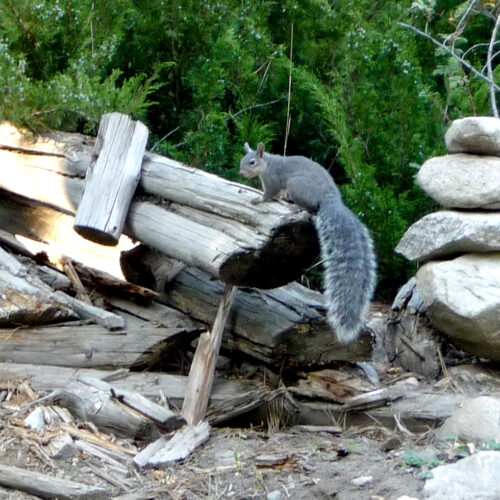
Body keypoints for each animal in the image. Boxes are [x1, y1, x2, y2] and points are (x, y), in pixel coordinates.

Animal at [238, 141, 376, 344]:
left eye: (252, 162)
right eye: (243, 160)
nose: (241, 173)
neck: (269, 164)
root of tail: (329, 197)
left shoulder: (273, 180)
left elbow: (268, 195)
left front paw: (257, 200)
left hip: (295, 185)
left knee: (311, 209)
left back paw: (295, 206)